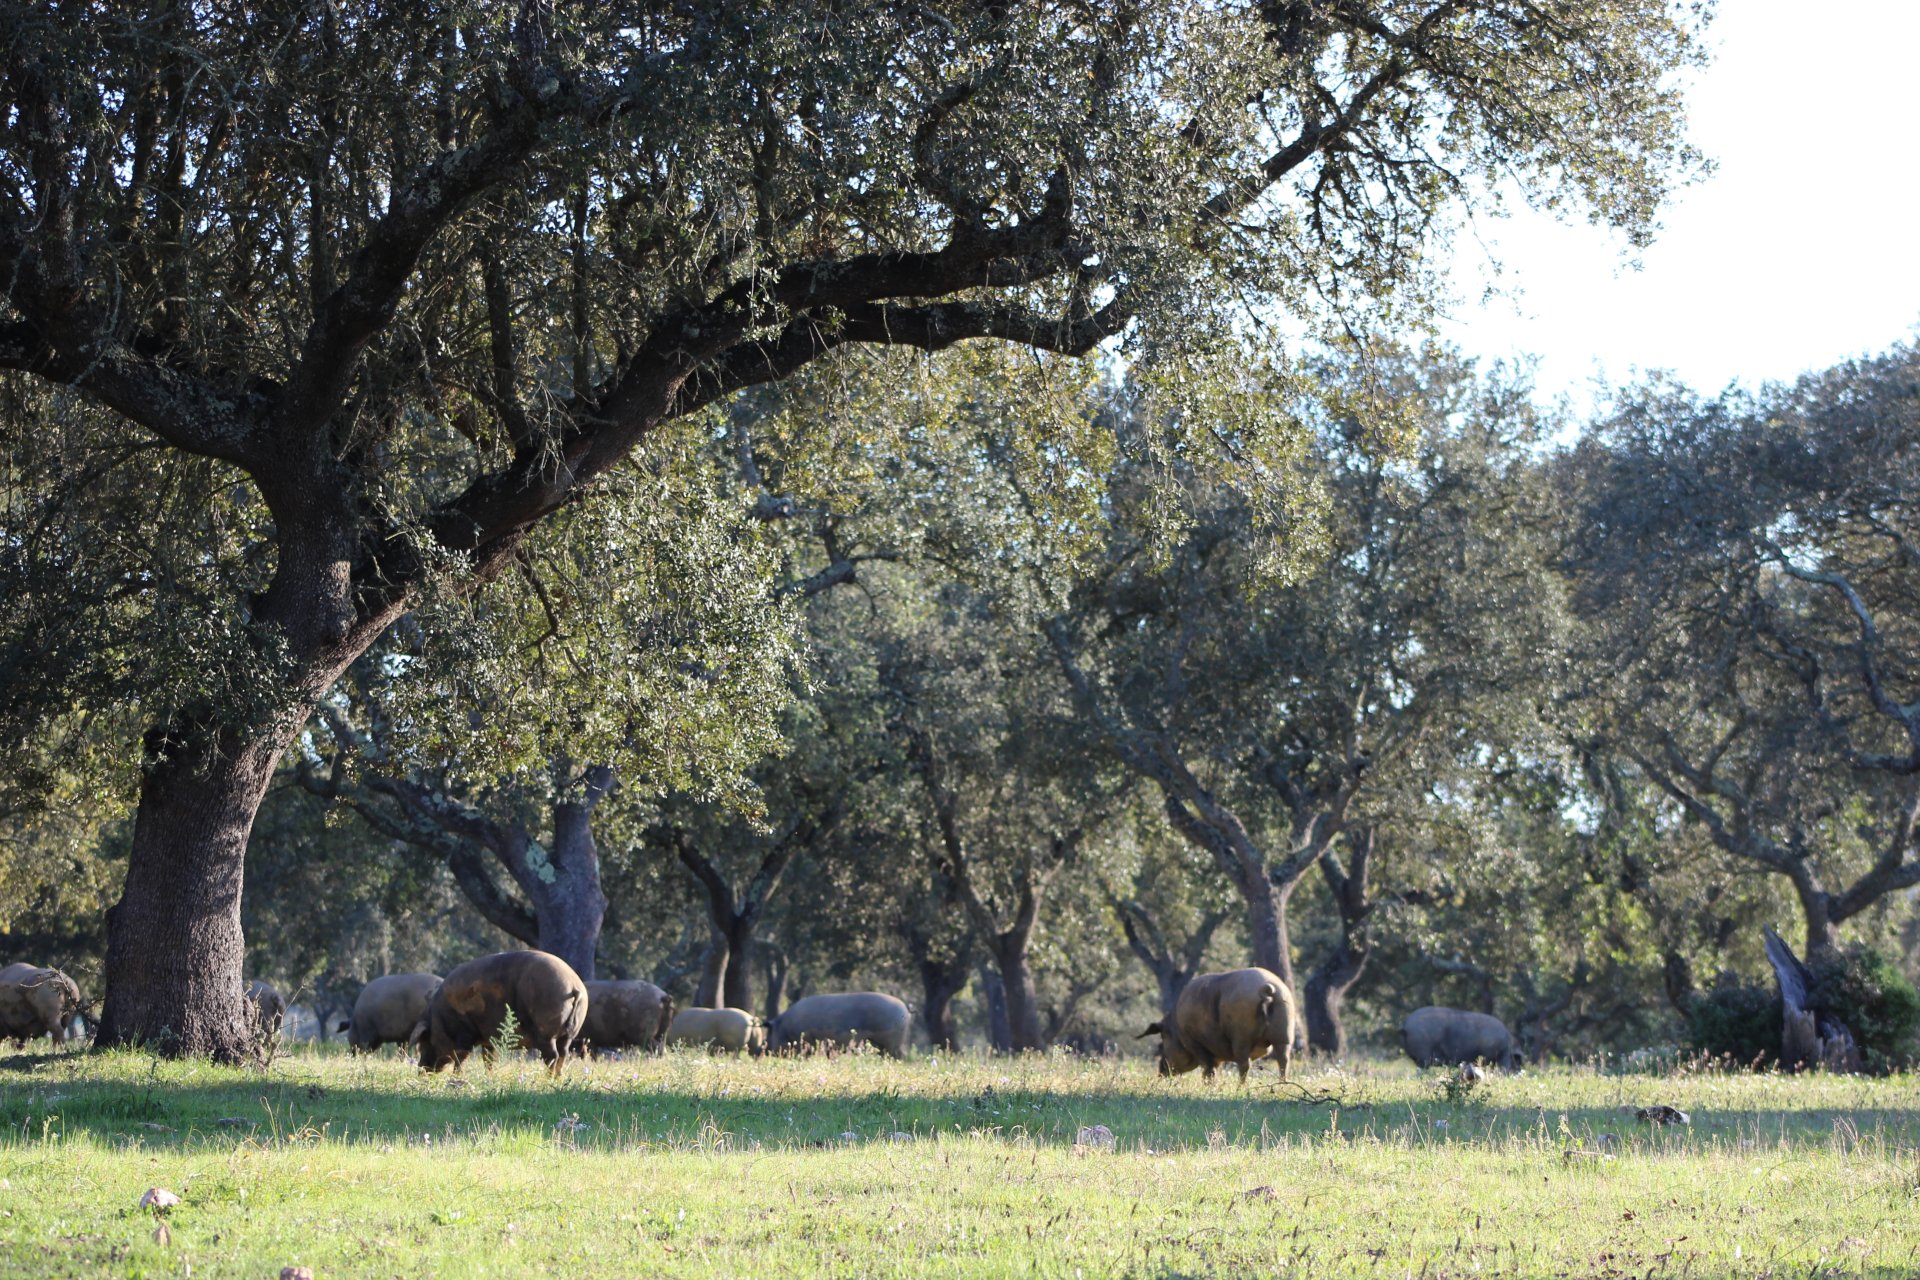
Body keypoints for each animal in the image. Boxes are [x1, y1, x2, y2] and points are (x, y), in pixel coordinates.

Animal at [405, 948, 583, 1074]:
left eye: (425, 1041)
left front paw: (456, 1077)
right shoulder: (489, 1040)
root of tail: (574, 986)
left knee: (553, 1056)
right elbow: (488, 1060)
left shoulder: (464, 1032)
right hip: (568, 1034)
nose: (421, 1071)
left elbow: (461, 1058)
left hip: (546, 1030)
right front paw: (488, 1077)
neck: (440, 1017)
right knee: (563, 1053)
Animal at [768, 990, 910, 1059]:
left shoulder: (806, 1039)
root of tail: (905, 1009)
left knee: (900, 1055)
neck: (784, 1026)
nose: (765, 1051)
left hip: (892, 1041)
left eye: (770, 1032)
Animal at [1128, 971, 1297, 1082]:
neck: (1177, 1028)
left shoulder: (1195, 1043)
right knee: (1283, 1058)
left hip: (1242, 1034)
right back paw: (1282, 1084)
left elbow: (1208, 1069)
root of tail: (1267, 989)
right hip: (1285, 1029)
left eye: (1162, 1041)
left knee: (1244, 1063)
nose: (1161, 1071)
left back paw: (1240, 1087)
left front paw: (1209, 1085)